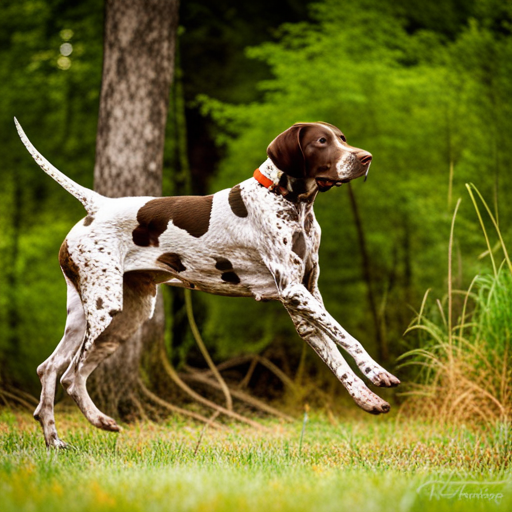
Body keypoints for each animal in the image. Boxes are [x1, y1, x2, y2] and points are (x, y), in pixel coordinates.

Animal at [14, 118, 400, 446]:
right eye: (322, 141)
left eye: (343, 138)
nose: (365, 158)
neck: (291, 203)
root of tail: (98, 205)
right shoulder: (295, 292)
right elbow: (348, 338)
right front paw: (377, 372)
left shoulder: (305, 301)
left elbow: (336, 357)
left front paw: (366, 398)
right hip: (107, 311)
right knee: (70, 374)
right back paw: (97, 422)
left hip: (113, 317)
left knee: (50, 368)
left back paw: (55, 440)